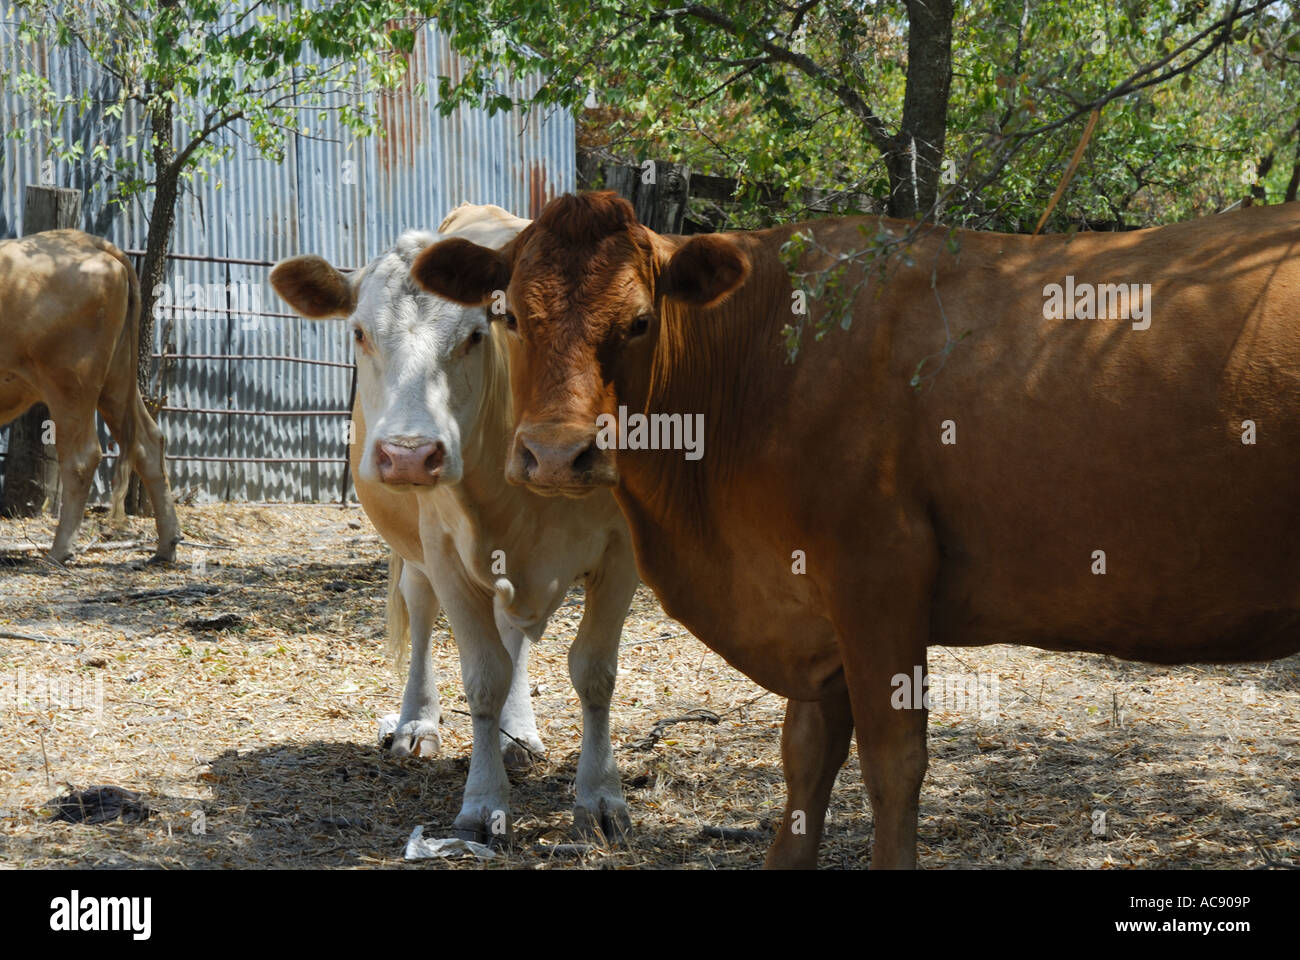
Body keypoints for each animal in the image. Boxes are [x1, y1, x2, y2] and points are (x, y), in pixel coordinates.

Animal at [0, 230, 183, 561]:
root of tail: (86, 239)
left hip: (70, 384)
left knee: (82, 457)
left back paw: (59, 550)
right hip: (117, 382)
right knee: (148, 443)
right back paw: (166, 546)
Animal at [271, 205, 637, 842]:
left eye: (475, 335)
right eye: (359, 333)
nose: (410, 455)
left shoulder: (620, 553)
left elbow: (594, 674)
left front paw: (600, 798)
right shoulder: (445, 552)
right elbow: (483, 676)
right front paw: (482, 801)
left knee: (513, 633)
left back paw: (520, 735)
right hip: (418, 551)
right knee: (421, 612)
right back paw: (417, 724)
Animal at [410, 195, 1300, 868]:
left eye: (637, 323)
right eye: (509, 318)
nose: (556, 455)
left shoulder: (880, 579)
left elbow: (893, 762)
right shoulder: (811, 611)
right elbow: (805, 756)